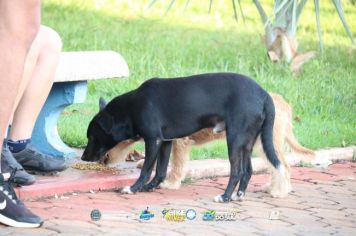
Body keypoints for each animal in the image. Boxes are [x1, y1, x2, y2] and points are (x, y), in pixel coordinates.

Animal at [82, 73, 282, 202]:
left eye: (91, 137)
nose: (83, 157)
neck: (133, 106)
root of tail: (264, 94)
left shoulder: (153, 140)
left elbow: (146, 169)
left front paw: (133, 188)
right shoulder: (165, 141)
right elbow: (160, 171)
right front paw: (149, 188)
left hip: (234, 139)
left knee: (237, 171)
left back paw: (225, 197)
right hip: (247, 142)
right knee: (248, 170)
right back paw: (238, 195)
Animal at [103, 93, 314, 198]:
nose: (104, 161)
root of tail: (282, 103)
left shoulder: (179, 142)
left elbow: (176, 165)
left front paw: (171, 183)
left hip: (265, 142)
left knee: (283, 166)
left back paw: (279, 191)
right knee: (273, 166)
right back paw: (269, 188)